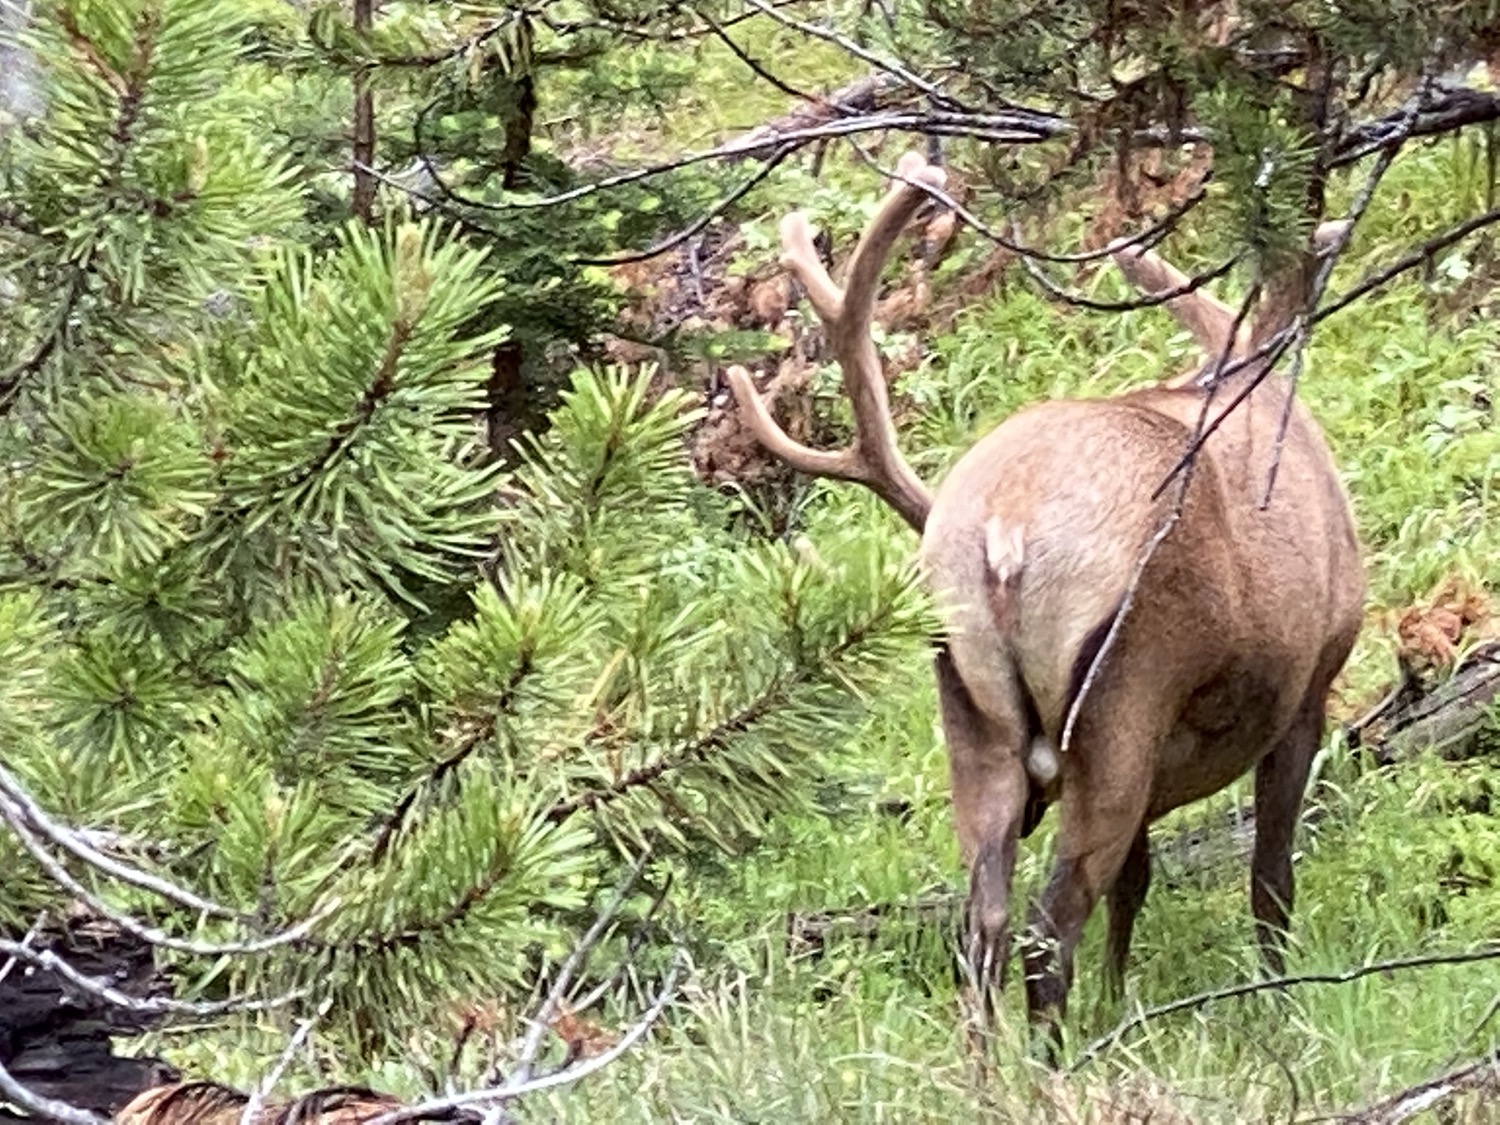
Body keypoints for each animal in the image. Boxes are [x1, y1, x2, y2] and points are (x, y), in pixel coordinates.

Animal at [726, 152, 1365, 1044]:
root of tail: (1006, 531)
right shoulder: (1311, 680)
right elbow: (1269, 876)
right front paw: (1278, 1008)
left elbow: (1140, 877)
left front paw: (1120, 997)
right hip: (1127, 684)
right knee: (1047, 924)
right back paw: (1056, 1056)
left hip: (971, 708)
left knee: (984, 921)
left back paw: (991, 1059)